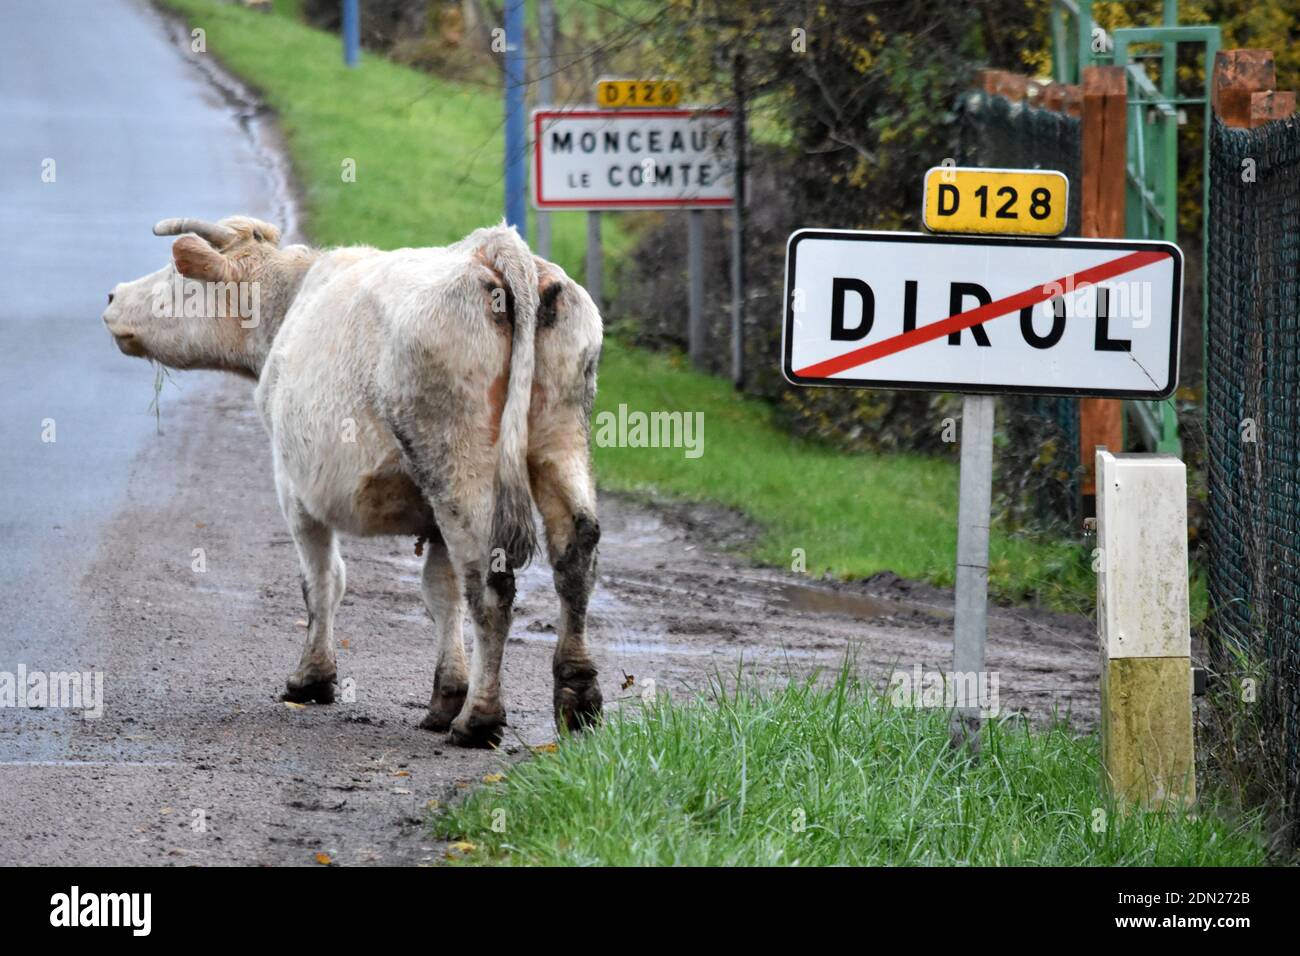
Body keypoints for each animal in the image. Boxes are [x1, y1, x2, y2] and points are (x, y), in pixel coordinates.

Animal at [101, 216, 603, 748]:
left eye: (178, 277)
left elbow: (322, 581)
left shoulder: (294, 486)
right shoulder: (431, 516)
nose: (113, 295)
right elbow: (440, 592)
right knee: (574, 554)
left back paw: (479, 720)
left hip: (457, 466)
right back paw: (577, 698)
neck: (290, 302)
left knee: (490, 585)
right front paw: (445, 696)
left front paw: (313, 679)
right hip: (558, 440)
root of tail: (493, 246)